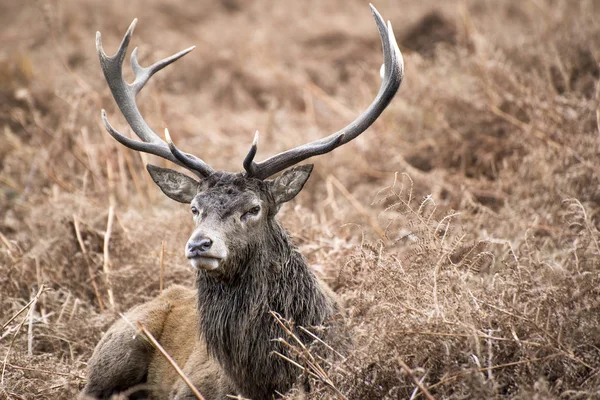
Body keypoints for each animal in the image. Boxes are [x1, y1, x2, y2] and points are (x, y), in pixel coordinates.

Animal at [81, 3, 404, 400]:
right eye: (195, 208)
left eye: (253, 209)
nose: (200, 244)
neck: (262, 381)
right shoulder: (189, 386)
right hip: (117, 346)